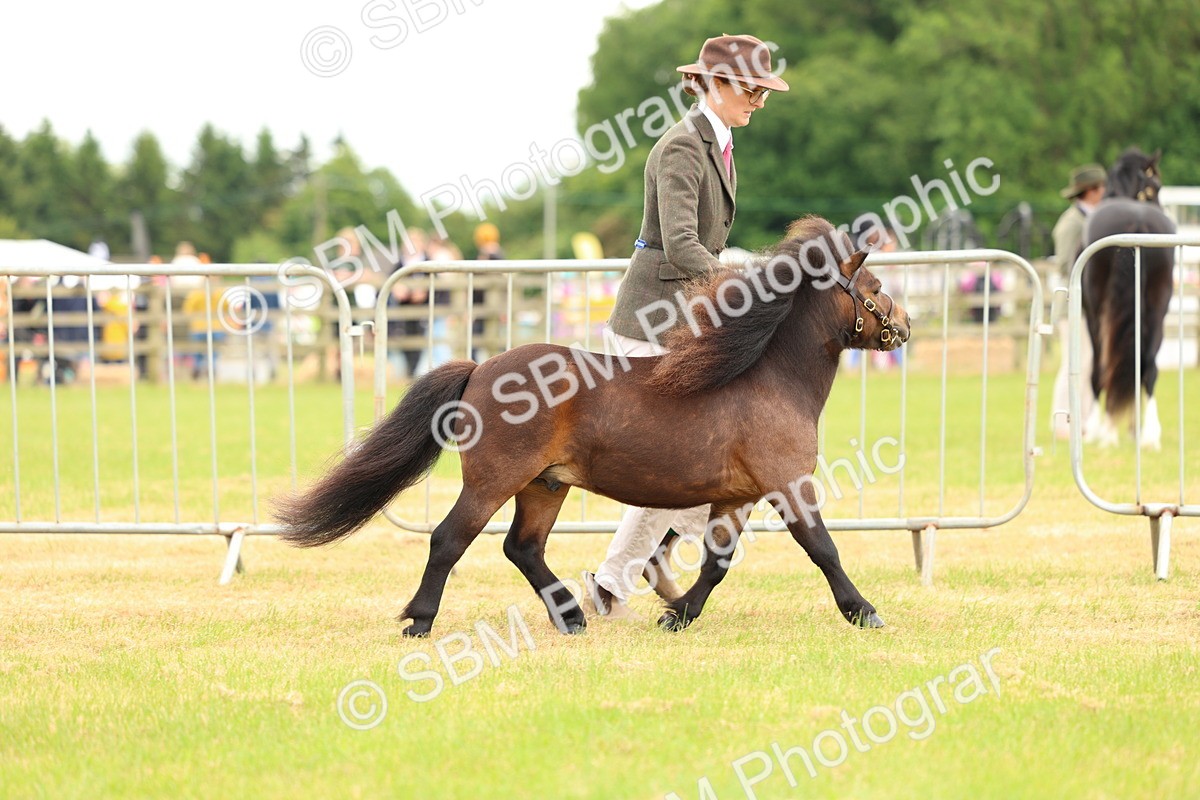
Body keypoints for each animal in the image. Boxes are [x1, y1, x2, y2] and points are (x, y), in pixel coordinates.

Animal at [274, 216, 910, 637]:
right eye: (876, 289)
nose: (904, 325)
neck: (768, 378)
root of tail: (480, 368)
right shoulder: (788, 485)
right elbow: (823, 548)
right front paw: (865, 611)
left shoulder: (738, 497)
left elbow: (716, 562)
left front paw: (678, 615)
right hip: (493, 480)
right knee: (449, 540)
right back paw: (420, 622)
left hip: (545, 484)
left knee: (522, 547)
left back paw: (573, 615)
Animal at [1081, 148, 1176, 448]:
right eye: (1156, 187)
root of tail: (1138, 221)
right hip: (1159, 309)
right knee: (1149, 365)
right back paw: (1150, 435)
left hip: (1098, 315)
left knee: (1104, 366)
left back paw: (1106, 430)